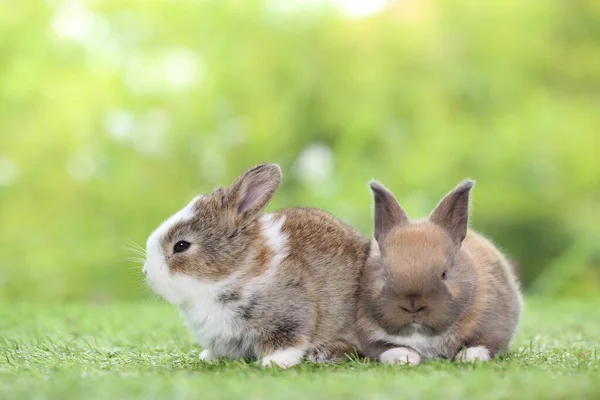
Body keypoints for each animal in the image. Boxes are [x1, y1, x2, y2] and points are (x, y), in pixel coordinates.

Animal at [143, 163, 372, 368]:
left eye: (181, 245)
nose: (147, 273)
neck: (236, 270)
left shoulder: (290, 315)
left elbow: (288, 341)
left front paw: (275, 362)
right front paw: (208, 357)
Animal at [358, 180, 524, 364]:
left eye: (444, 274)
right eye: (385, 275)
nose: (413, 306)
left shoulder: (493, 326)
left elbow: (483, 345)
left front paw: (469, 358)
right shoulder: (367, 338)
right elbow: (387, 348)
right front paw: (406, 358)